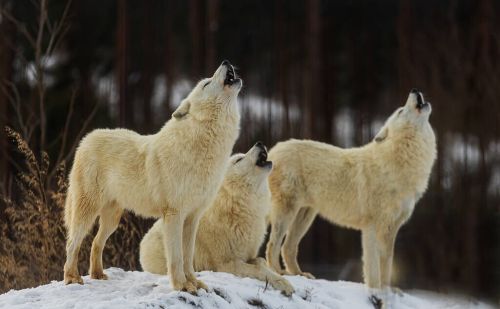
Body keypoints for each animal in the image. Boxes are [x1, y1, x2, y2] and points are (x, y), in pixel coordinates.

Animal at [63, 59, 243, 292]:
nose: (226, 61)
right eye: (206, 83)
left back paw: (98, 275)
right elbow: (176, 257)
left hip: (112, 218)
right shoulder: (174, 215)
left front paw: (194, 283)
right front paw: (181, 286)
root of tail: (86, 139)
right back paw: (72, 278)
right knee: (72, 243)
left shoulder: (193, 217)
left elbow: (188, 258)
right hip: (87, 212)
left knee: (95, 243)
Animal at [139, 143, 294, 294]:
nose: (260, 143)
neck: (237, 207)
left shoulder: (248, 256)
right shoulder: (225, 264)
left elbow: (261, 262)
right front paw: (284, 283)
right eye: (239, 159)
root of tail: (142, 242)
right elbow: (257, 269)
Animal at [266, 89, 438, 292]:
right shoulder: (371, 227)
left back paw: (300, 274)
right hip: (287, 212)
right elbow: (373, 267)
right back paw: (279, 273)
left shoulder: (391, 229)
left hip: (305, 216)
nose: (414, 91)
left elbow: (387, 266)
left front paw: (387, 290)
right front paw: (375, 290)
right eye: (400, 111)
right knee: (272, 245)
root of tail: (272, 151)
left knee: (288, 247)